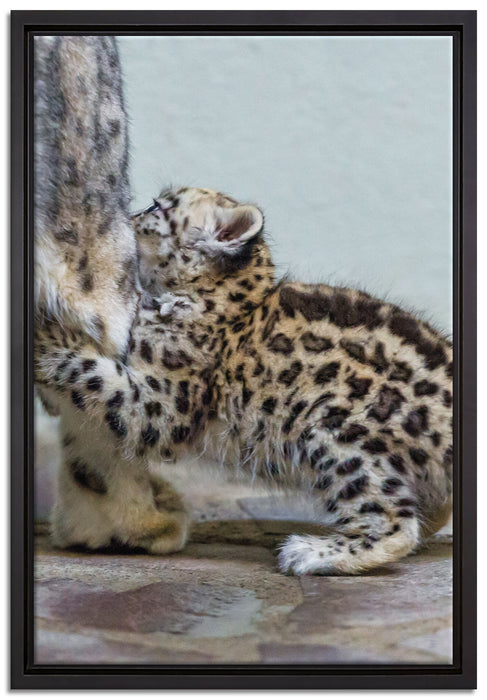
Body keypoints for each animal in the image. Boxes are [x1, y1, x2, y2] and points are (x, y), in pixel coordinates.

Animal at [34, 186, 453, 575]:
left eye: (157, 206)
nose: (127, 218)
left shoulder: (163, 404)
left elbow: (95, 376)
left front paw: (49, 337)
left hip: (335, 432)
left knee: (394, 522)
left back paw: (310, 553)